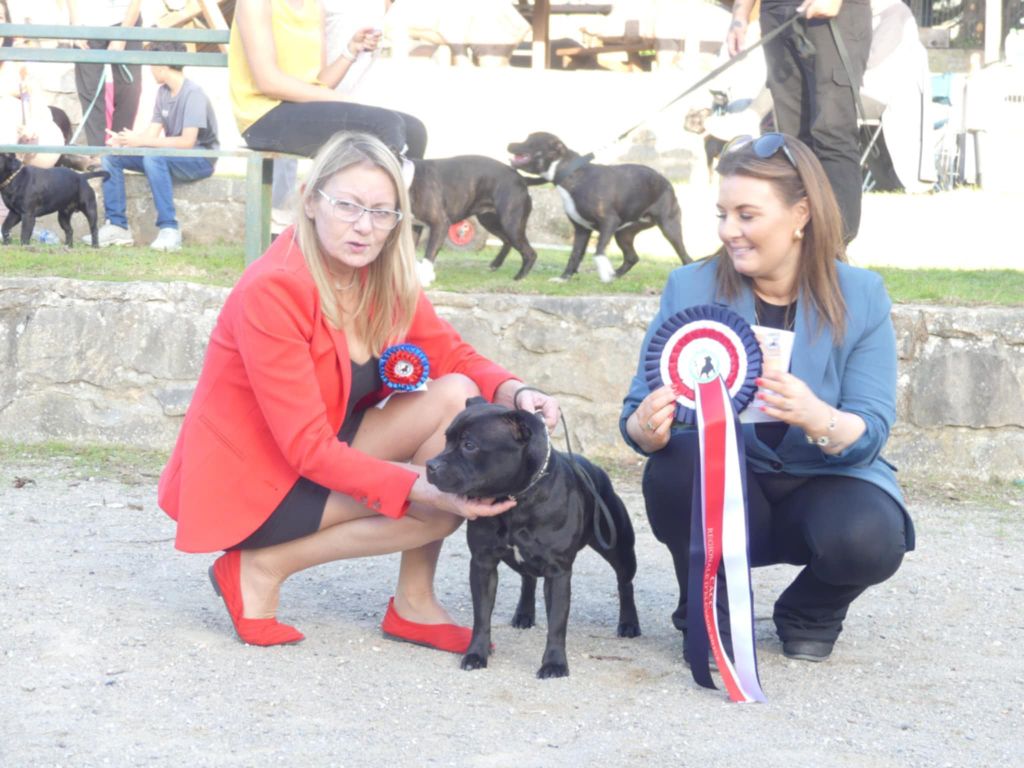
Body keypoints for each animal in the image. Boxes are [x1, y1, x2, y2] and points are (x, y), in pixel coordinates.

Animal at [408, 155, 541, 285]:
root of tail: (521, 178)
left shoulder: (440, 224)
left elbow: (429, 254)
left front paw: (424, 279)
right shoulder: (414, 227)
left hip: (511, 225)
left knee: (530, 253)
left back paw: (519, 277)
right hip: (490, 222)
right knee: (507, 241)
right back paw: (496, 264)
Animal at [425, 397, 641, 678]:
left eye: (469, 445)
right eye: (446, 439)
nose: (430, 465)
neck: (516, 499)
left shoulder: (558, 572)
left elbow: (557, 622)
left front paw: (554, 664)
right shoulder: (483, 564)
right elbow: (481, 616)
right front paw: (476, 654)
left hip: (620, 549)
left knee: (625, 583)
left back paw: (629, 623)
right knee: (528, 579)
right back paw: (524, 614)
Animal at [507, 131, 692, 282]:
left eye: (530, 141)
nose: (509, 144)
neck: (569, 173)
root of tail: (667, 182)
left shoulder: (609, 222)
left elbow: (598, 250)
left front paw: (603, 271)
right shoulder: (581, 230)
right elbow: (574, 255)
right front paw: (564, 278)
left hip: (669, 227)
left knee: (685, 257)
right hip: (623, 234)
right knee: (632, 257)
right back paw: (614, 275)